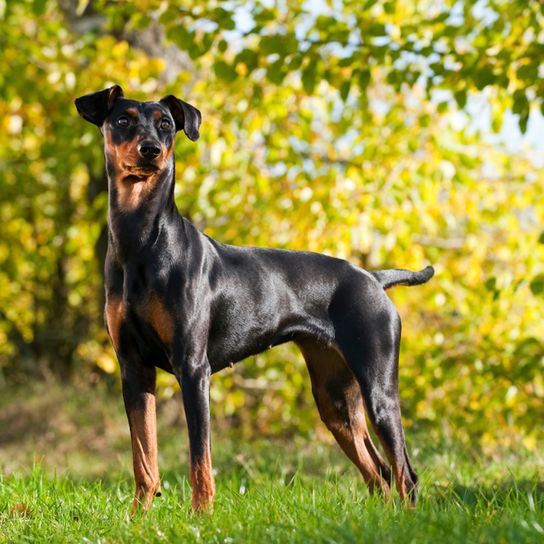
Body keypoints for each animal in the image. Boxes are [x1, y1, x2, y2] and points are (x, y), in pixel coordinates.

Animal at [75, 85, 434, 516]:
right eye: (122, 120)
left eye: (165, 124)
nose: (151, 151)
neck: (141, 242)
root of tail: (373, 278)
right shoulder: (133, 368)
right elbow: (144, 458)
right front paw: (139, 517)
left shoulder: (193, 369)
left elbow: (200, 460)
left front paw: (200, 517)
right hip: (334, 399)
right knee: (378, 472)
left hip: (378, 389)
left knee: (404, 473)